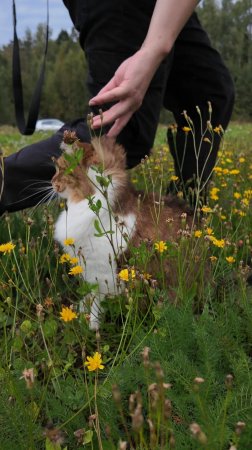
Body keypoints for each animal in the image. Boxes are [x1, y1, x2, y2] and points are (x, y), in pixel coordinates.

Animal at [52, 131, 192, 330]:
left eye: (61, 168)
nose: (52, 182)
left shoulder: (103, 273)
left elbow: (97, 302)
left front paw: (91, 325)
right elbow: (89, 296)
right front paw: (81, 312)